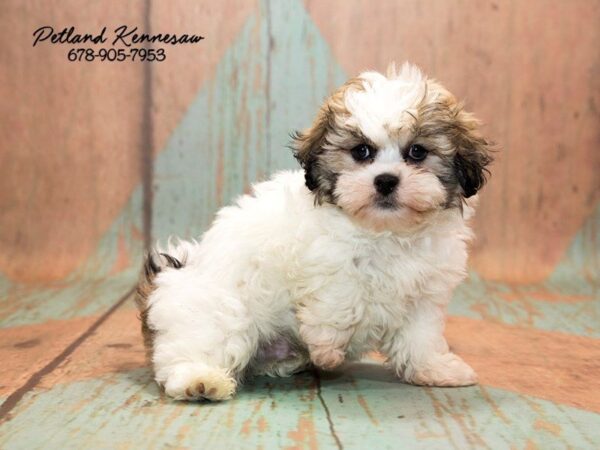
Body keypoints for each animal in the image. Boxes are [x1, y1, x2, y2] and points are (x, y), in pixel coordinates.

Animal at [136, 62, 492, 400]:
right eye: (361, 151)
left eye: (418, 151)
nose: (386, 180)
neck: (388, 232)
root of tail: (172, 273)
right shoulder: (325, 262)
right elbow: (342, 297)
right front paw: (327, 347)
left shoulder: (424, 294)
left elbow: (421, 336)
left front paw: (433, 369)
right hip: (216, 312)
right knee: (194, 348)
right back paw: (200, 381)